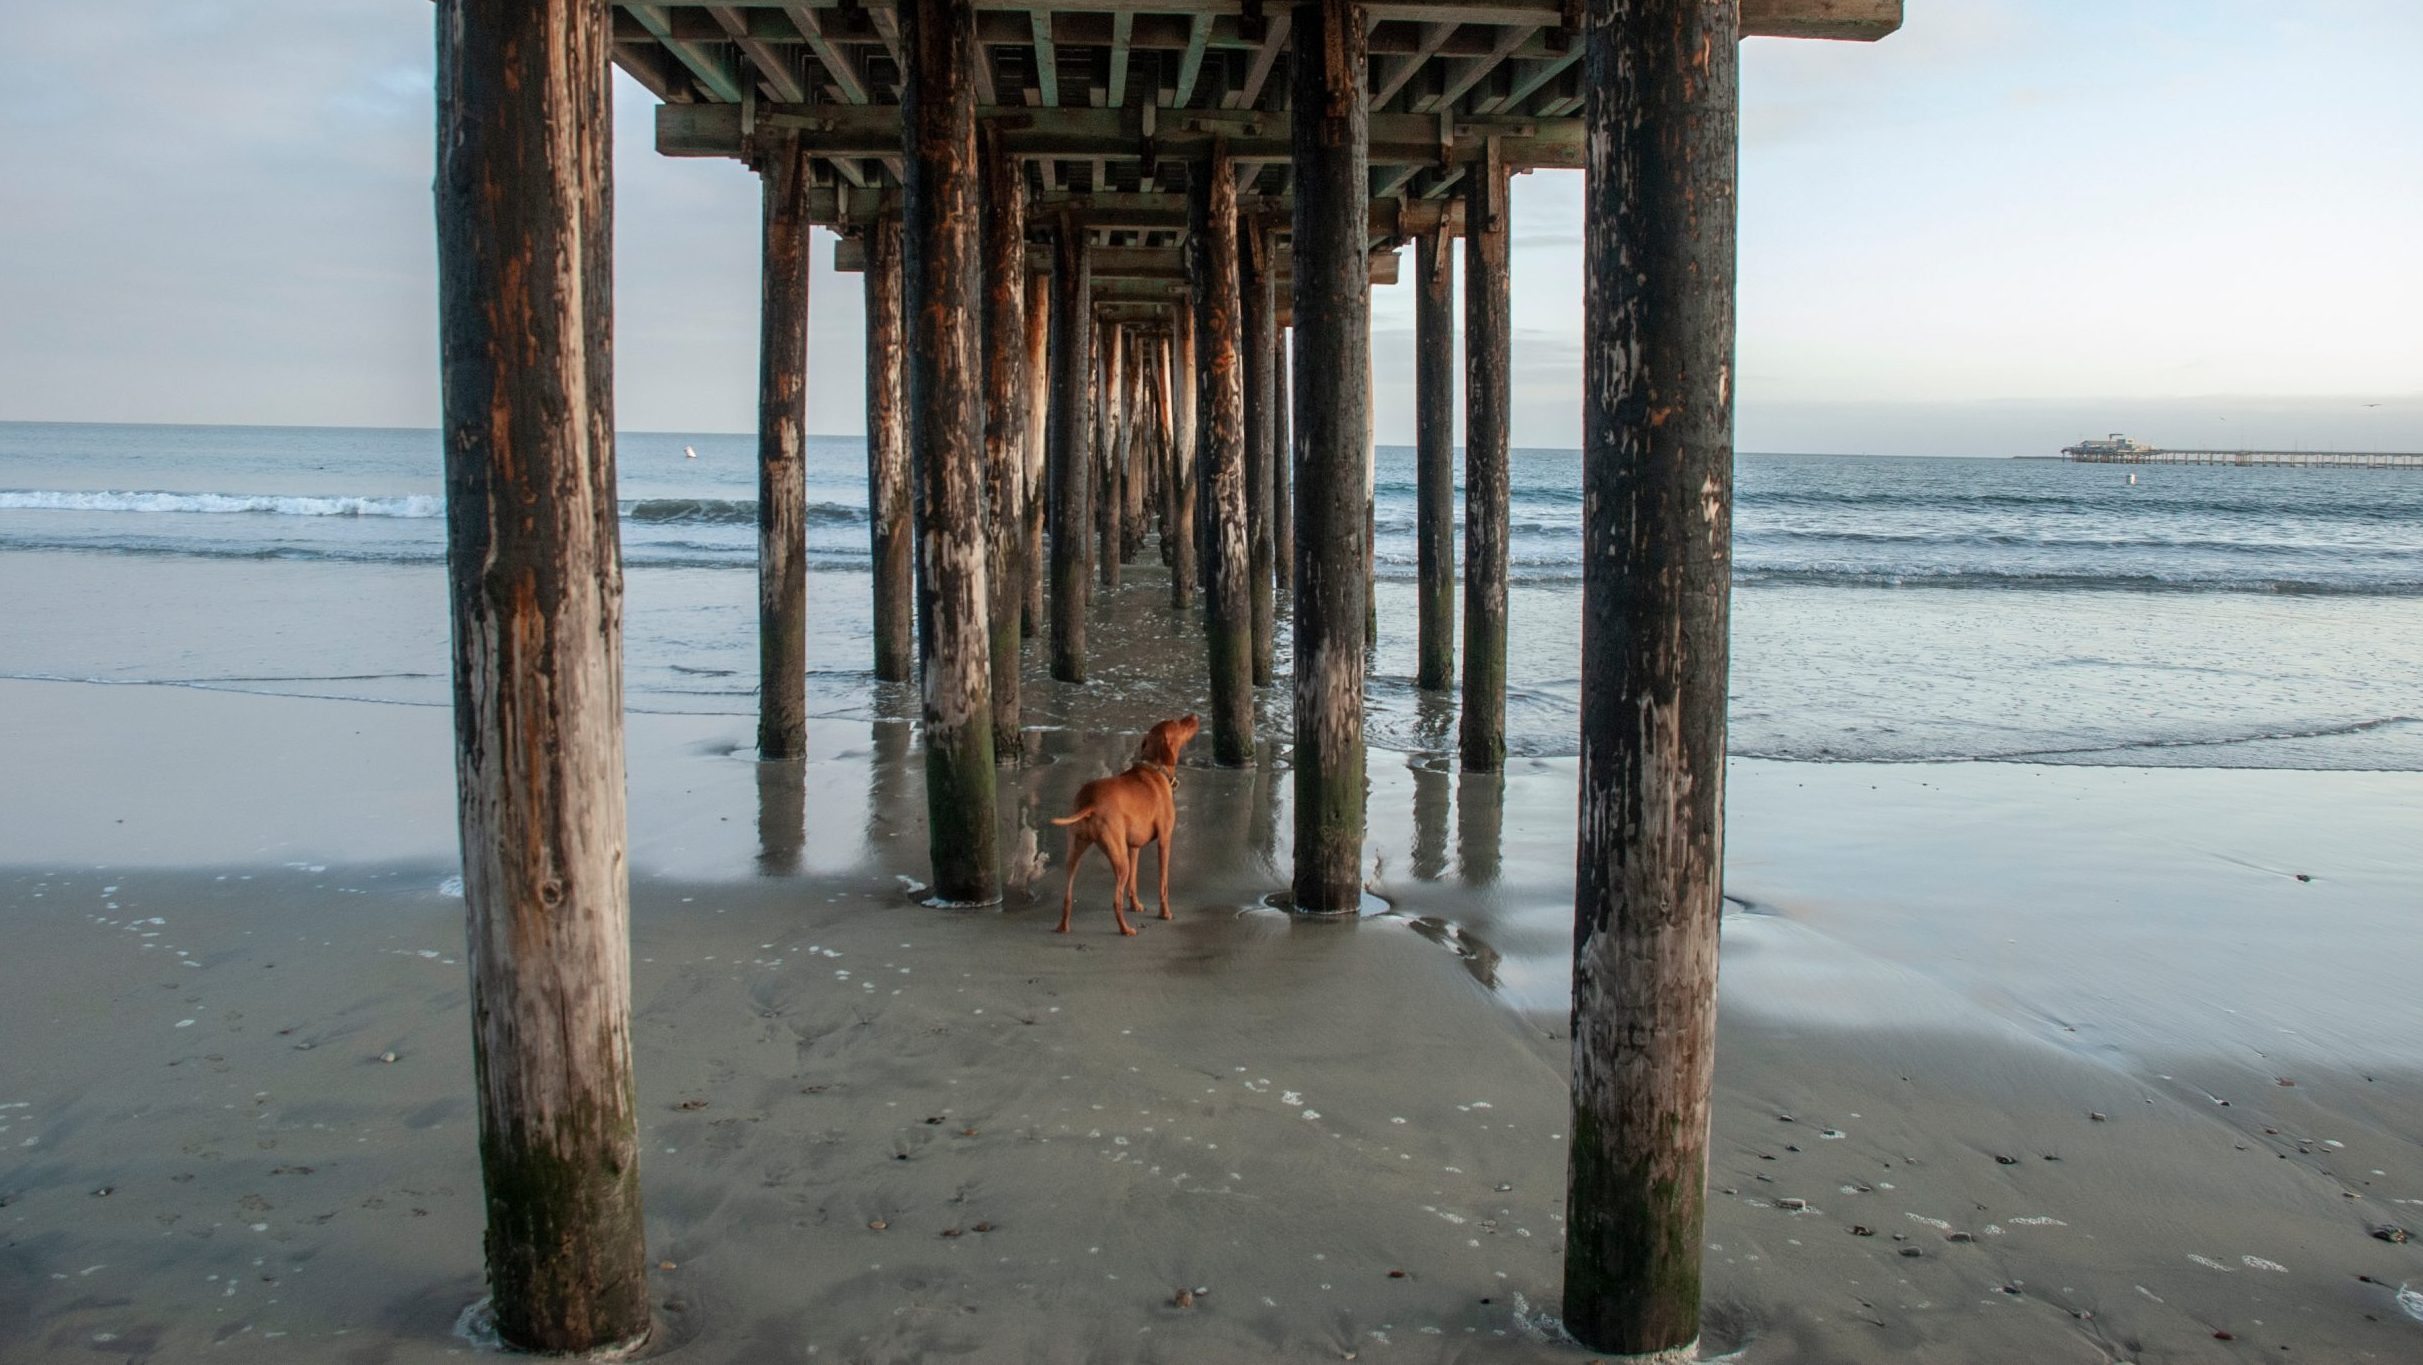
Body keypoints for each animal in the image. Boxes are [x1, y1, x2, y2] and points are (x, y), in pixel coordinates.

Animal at [1051, 722, 1201, 935]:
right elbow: (1163, 884)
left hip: (1076, 855)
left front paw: (1136, 905)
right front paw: (1165, 914)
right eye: (1179, 723)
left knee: (1068, 896)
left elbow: (1133, 884)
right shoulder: (1165, 840)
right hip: (1121, 862)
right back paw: (1126, 929)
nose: (1194, 717)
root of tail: (1091, 802)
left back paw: (1063, 927)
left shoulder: (1133, 847)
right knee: (1115, 901)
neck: (1156, 768)